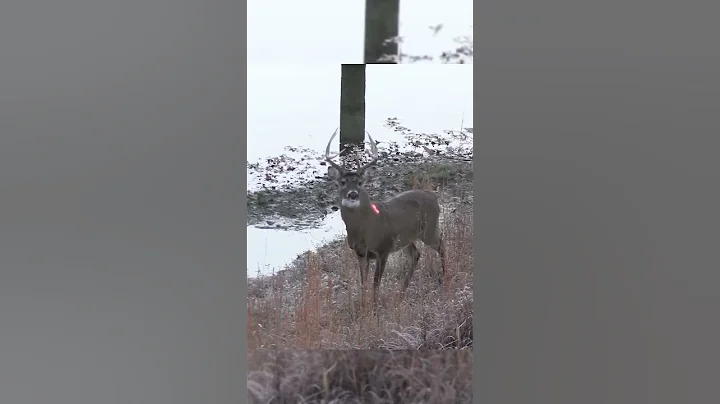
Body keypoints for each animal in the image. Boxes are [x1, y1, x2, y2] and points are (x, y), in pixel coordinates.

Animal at [324, 128, 447, 308]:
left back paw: (445, 278)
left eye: (360, 182)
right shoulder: (360, 253)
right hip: (407, 239)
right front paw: (363, 306)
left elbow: (376, 283)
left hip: (429, 229)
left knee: (442, 246)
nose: (352, 194)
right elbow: (363, 283)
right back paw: (402, 293)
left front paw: (374, 308)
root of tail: (434, 197)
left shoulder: (384, 249)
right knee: (416, 254)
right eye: (342, 182)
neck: (364, 231)